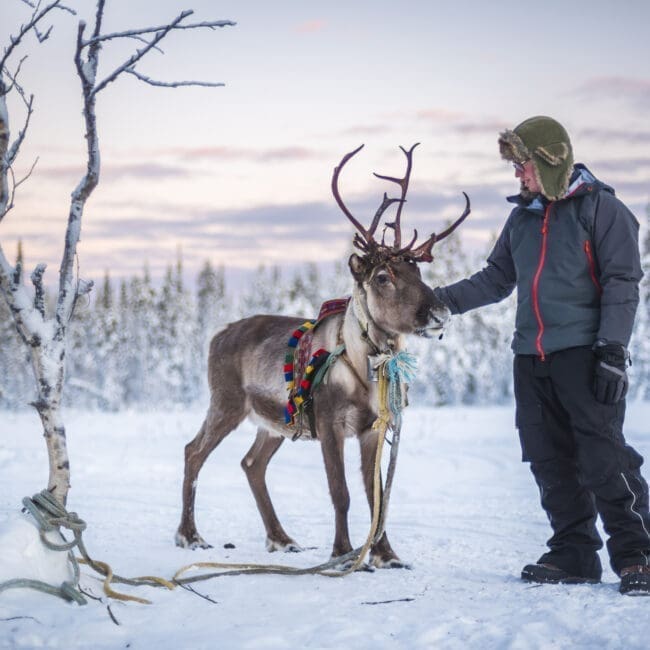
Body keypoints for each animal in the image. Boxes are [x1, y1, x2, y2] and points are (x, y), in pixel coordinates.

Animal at [175, 143, 470, 569]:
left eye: (418, 272)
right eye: (383, 277)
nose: (439, 313)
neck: (366, 374)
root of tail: (217, 335)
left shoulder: (373, 428)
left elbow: (377, 498)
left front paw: (386, 555)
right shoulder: (331, 424)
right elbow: (340, 493)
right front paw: (344, 553)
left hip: (274, 423)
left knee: (251, 464)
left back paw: (281, 539)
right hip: (227, 402)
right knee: (193, 451)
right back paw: (190, 535)